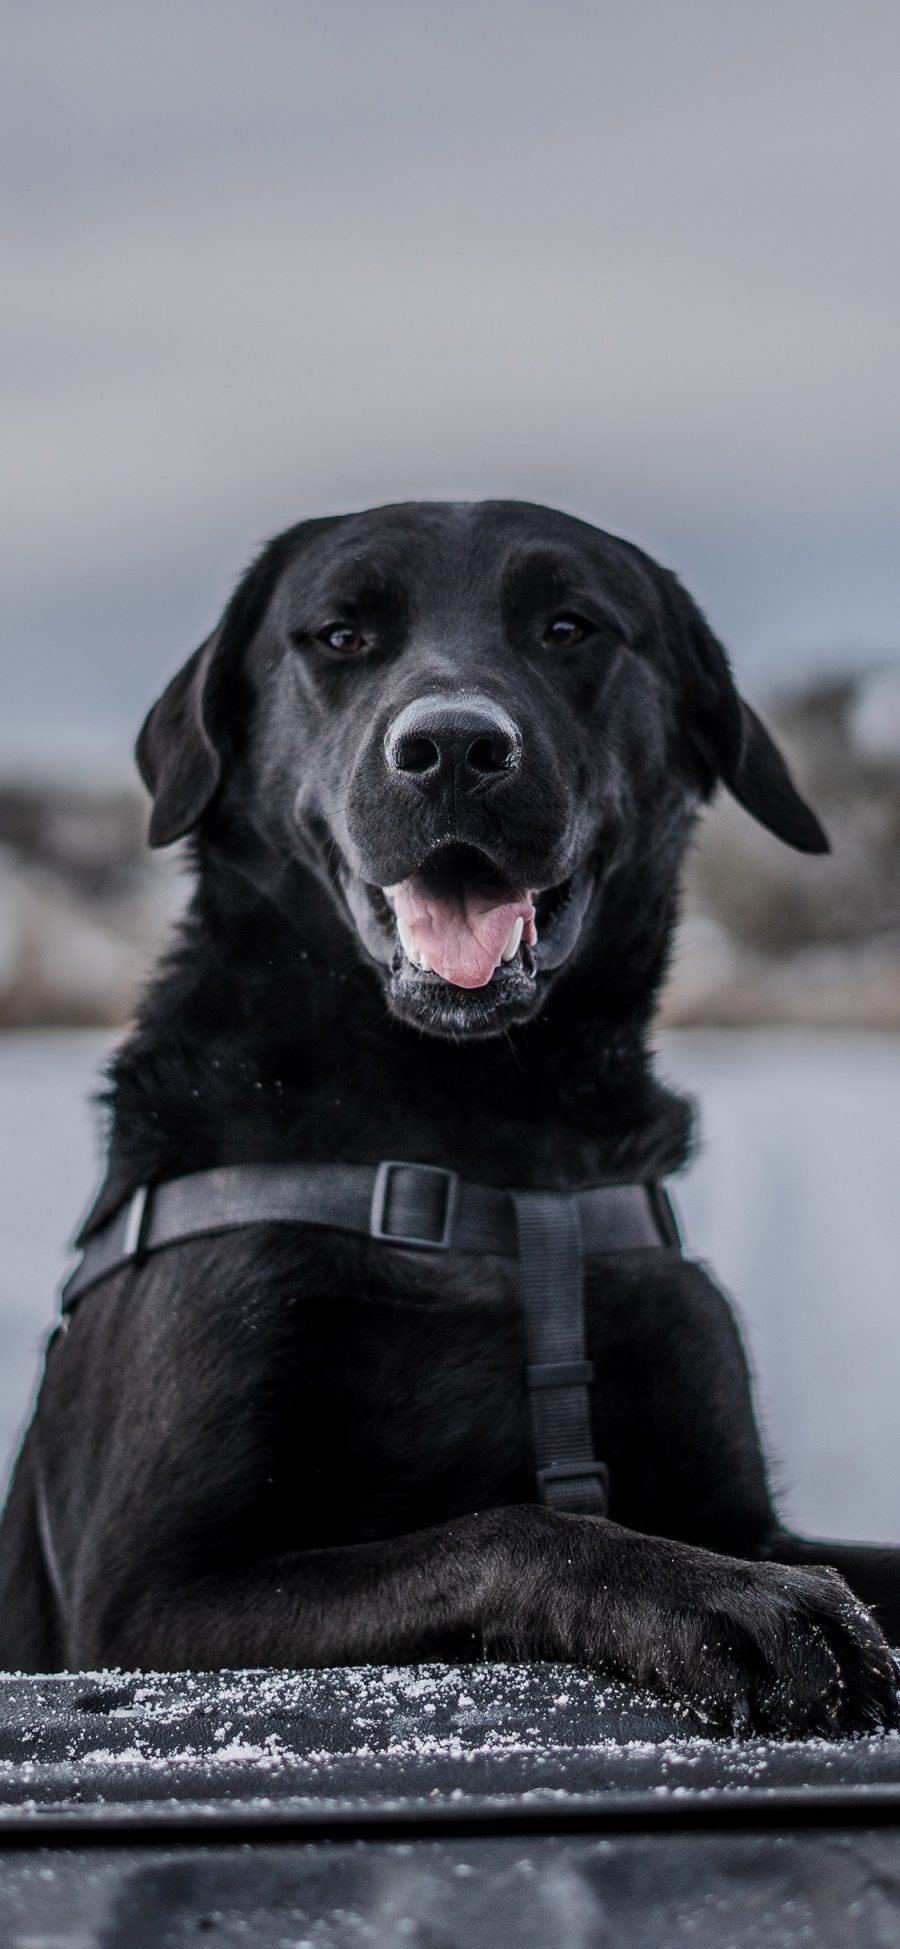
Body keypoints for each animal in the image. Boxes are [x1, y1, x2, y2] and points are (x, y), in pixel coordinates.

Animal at [1, 506, 900, 1738]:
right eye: (340, 635)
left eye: (570, 627)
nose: (457, 748)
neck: (477, 1132)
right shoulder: (142, 1598)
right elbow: (510, 1526)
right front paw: (733, 1599)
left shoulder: (743, 1503)